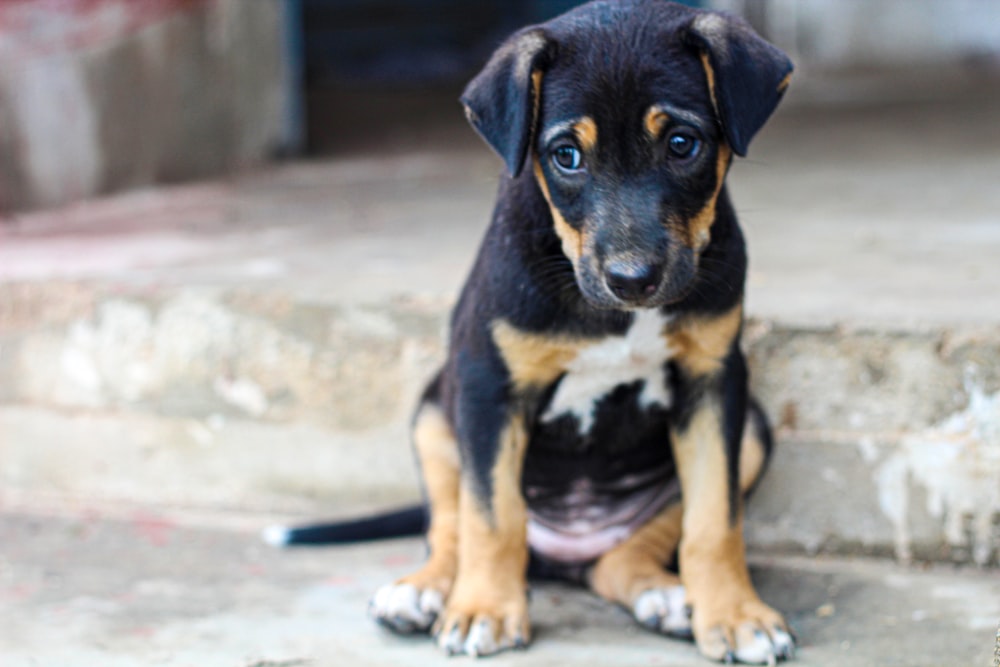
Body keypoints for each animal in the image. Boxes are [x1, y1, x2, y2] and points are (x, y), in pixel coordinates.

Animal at [372, 0, 792, 664]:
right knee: (450, 525)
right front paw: (485, 609)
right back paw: (425, 591)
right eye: (566, 155)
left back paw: (664, 595)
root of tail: (565, 551)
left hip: (751, 427)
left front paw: (734, 615)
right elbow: (491, 516)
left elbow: (714, 520)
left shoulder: (714, 381)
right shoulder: (488, 386)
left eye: (682, 144)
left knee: (623, 556)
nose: (632, 280)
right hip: (434, 418)